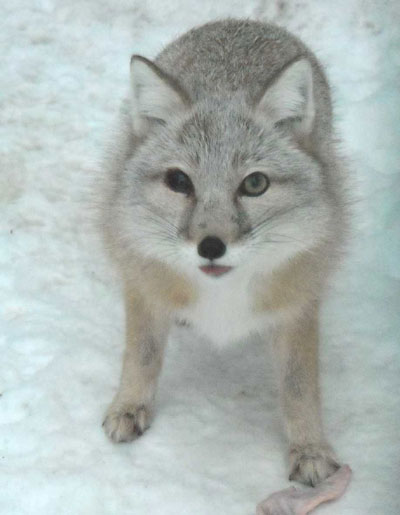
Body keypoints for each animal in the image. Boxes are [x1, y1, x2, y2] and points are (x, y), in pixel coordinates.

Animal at [98, 20, 348, 488]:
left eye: (255, 184)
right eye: (179, 181)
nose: (211, 247)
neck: (222, 297)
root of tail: (240, 21)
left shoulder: (297, 305)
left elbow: (300, 387)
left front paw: (310, 448)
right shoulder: (143, 282)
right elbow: (142, 355)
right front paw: (129, 405)